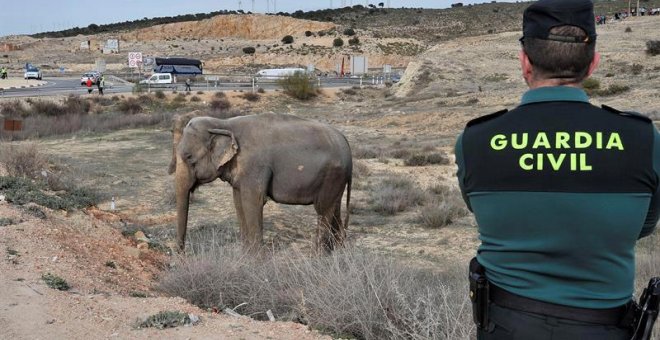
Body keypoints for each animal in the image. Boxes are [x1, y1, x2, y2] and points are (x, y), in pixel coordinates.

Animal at [173, 113, 354, 252]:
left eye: (189, 157)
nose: (182, 255)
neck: (223, 123)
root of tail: (346, 143)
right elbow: (239, 203)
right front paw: (245, 255)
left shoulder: (255, 167)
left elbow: (253, 202)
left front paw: (257, 259)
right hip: (337, 180)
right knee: (334, 208)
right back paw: (336, 251)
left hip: (333, 175)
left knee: (323, 210)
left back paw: (318, 256)